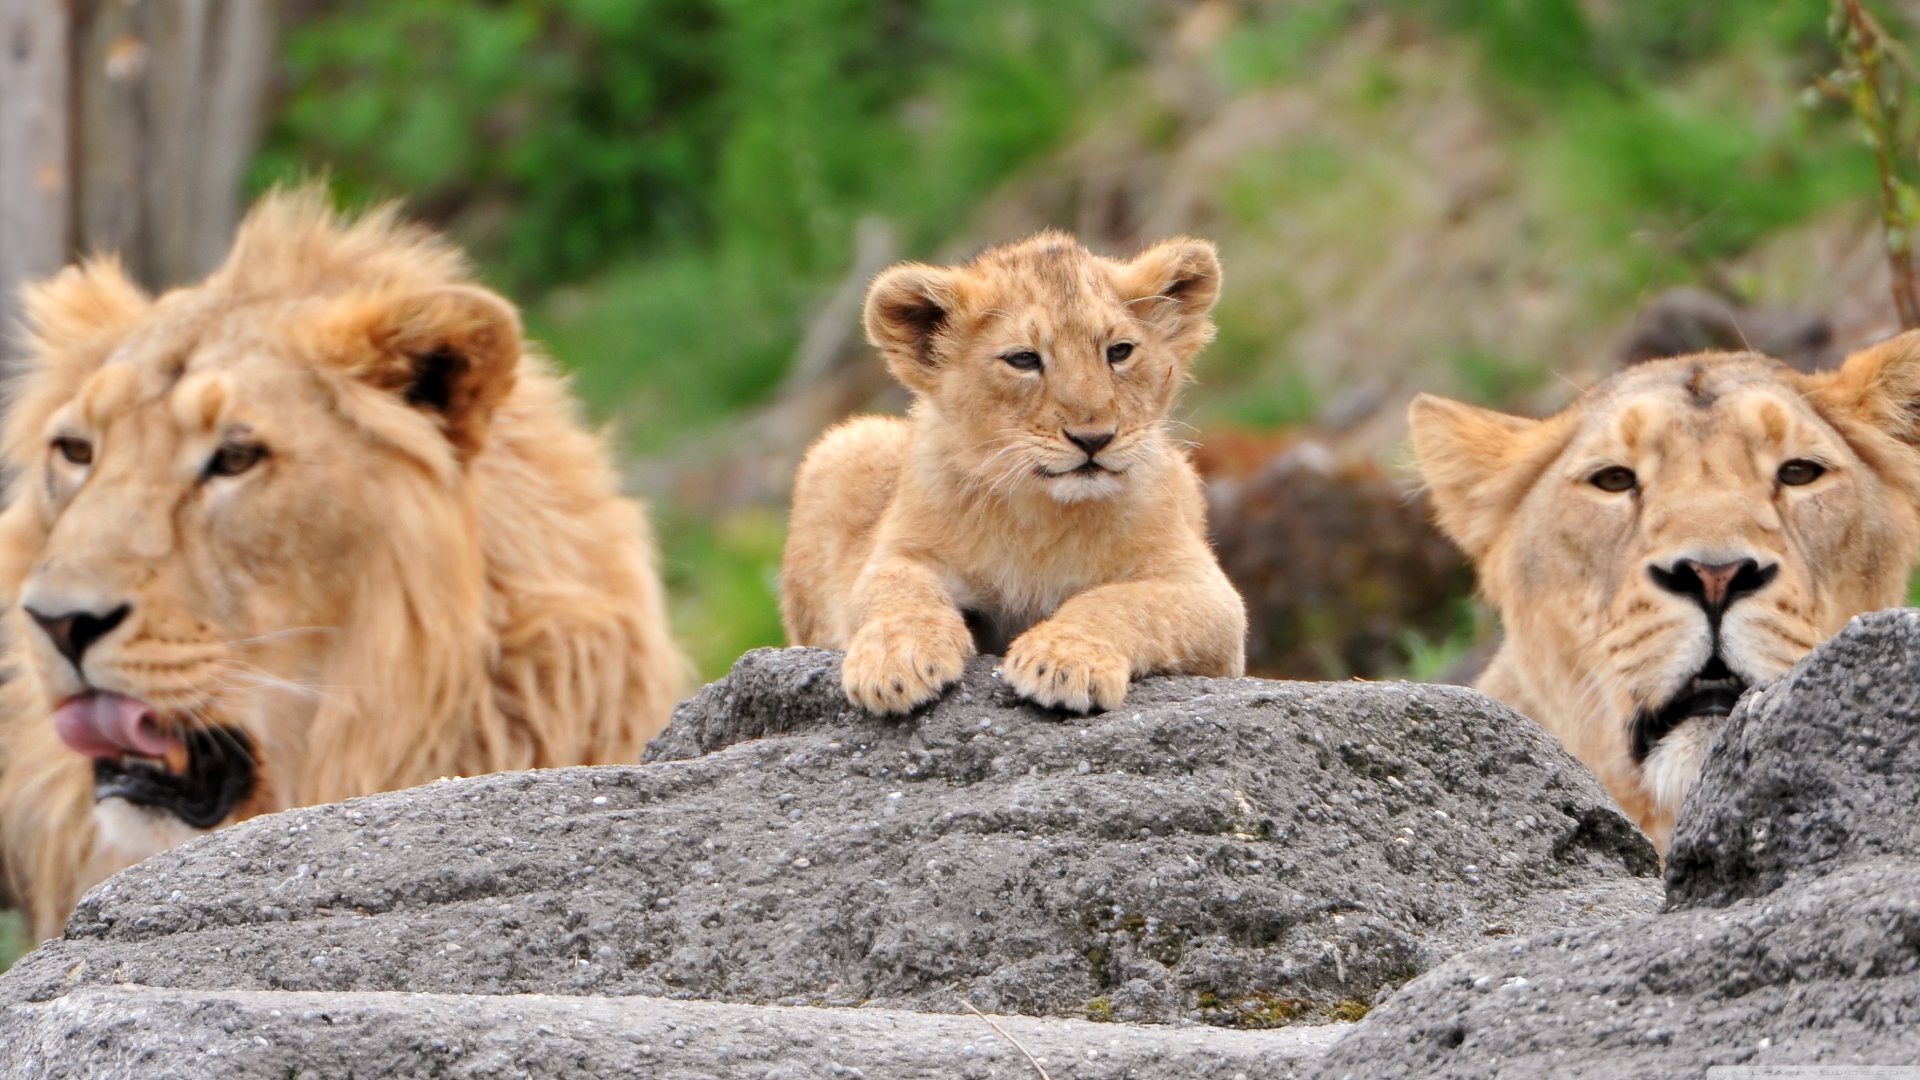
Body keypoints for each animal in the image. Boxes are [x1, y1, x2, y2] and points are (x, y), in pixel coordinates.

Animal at [780, 231, 1247, 715]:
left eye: (1119, 351)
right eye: (1023, 359)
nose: (1094, 438)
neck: (1040, 515)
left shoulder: (1210, 598)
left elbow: (1119, 602)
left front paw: (1063, 660)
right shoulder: (900, 552)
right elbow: (897, 589)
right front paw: (896, 661)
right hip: (845, 444)